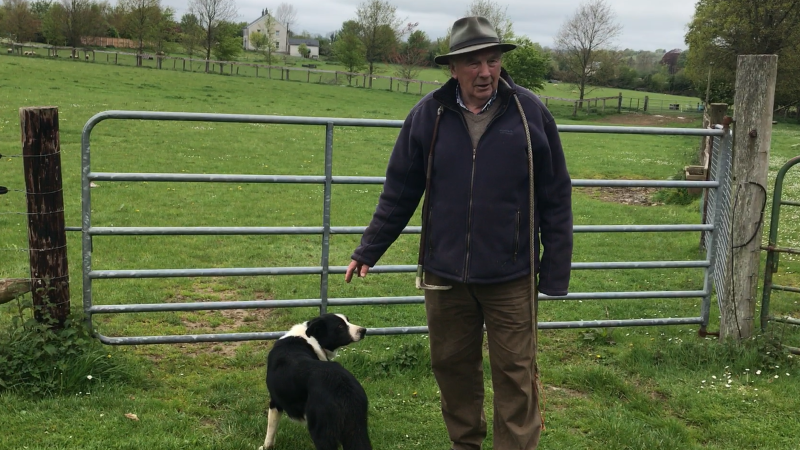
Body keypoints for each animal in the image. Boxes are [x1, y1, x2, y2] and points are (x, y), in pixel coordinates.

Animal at [260, 312, 372, 450]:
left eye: (347, 321)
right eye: (340, 326)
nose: (363, 330)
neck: (311, 338)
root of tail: (341, 386)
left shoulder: (275, 401)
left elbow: (271, 429)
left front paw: (265, 446)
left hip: (321, 430)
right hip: (356, 428)